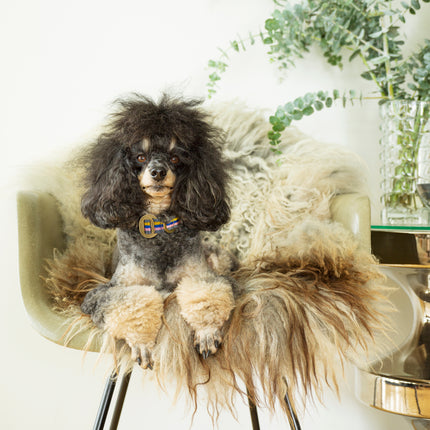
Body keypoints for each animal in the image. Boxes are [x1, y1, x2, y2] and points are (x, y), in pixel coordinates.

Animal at [79, 94, 237, 370]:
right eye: (140, 157)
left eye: (175, 158)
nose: (158, 172)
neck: (159, 225)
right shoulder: (108, 292)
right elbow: (132, 303)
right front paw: (142, 343)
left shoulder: (203, 277)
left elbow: (206, 293)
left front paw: (206, 332)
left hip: (217, 257)